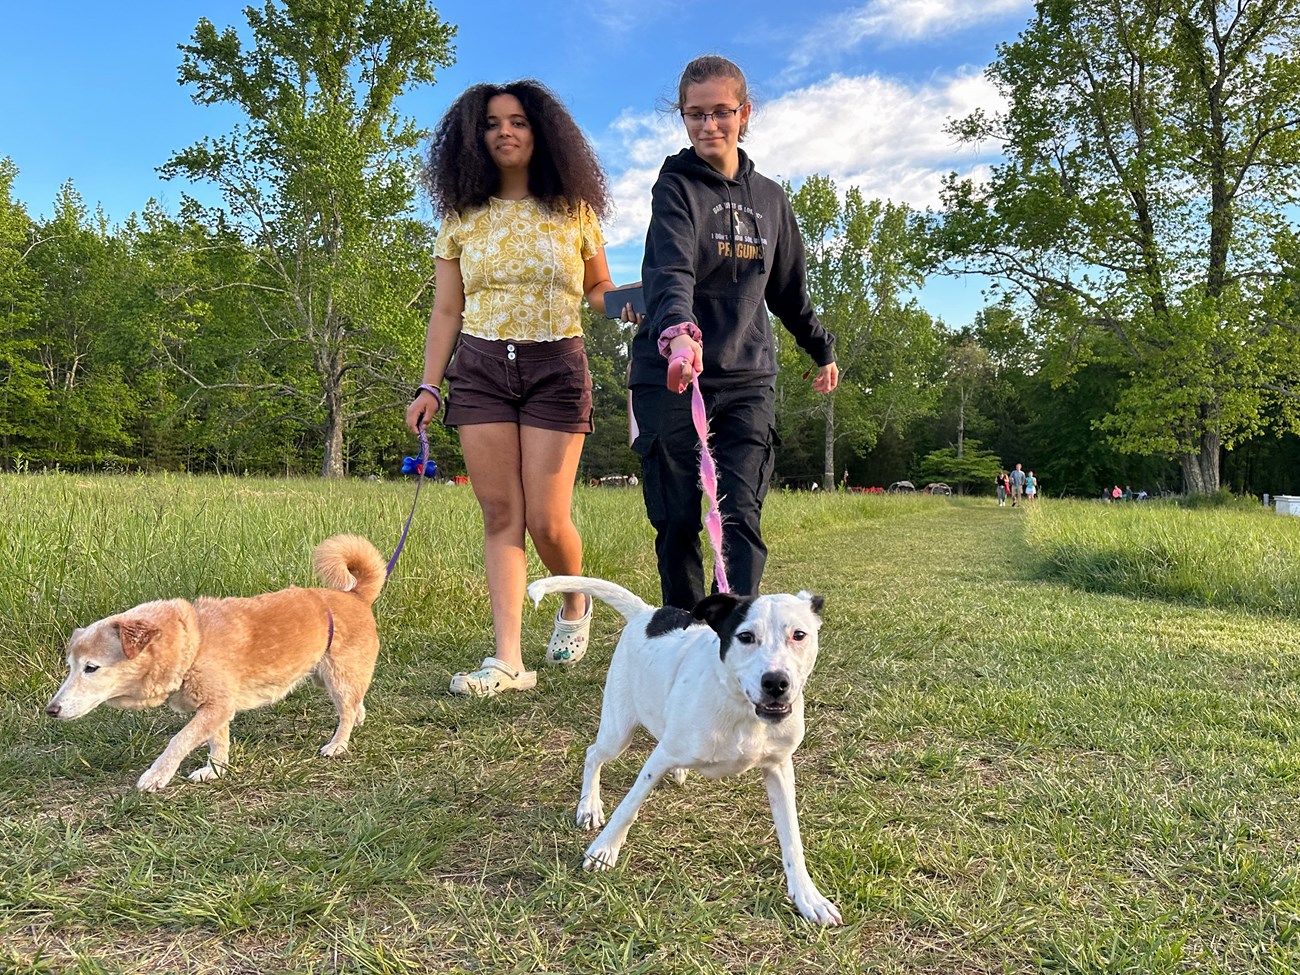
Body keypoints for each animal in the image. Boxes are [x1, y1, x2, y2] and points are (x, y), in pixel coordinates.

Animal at [47, 535, 390, 795]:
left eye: (91, 668)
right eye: (70, 666)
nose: (51, 709)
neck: (192, 643)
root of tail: (356, 596)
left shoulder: (216, 706)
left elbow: (180, 740)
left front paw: (157, 775)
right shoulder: (216, 707)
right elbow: (218, 740)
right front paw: (215, 770)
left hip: (338, 677)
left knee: (346, 711)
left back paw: (338, 744)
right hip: (324, 675)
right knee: (355, 703)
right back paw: (358, 718)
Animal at [527, 577, 842, 925]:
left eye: (799, 635)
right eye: (745, 636)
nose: (776, 682)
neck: (741, 710)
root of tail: (647, 612)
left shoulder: (779, 768)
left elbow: (792, 840)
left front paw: (807, 896)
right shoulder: (660, 756)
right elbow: (628, 807)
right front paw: (604, 850)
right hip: (617, 731)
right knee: (594, 753)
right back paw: (590, 806)